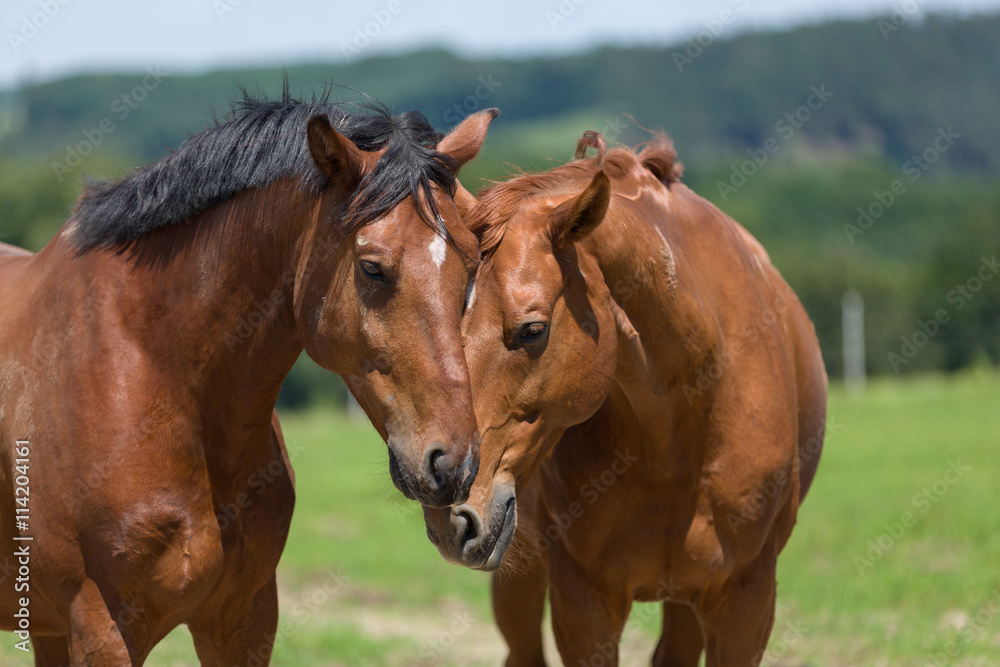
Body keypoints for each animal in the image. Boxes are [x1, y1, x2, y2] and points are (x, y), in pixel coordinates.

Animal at [0, 96, 500, 664]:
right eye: (372, 268)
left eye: (471, 265)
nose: (453, 465)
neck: (150, 366)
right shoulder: (102, 629)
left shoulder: (243, 618)